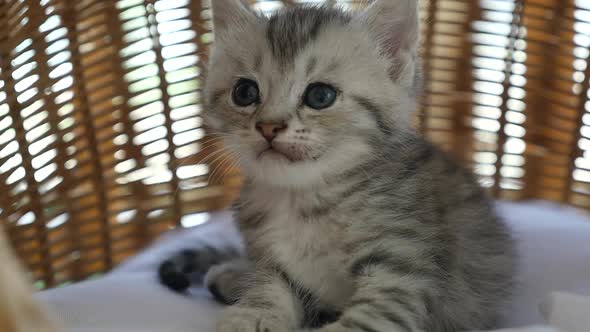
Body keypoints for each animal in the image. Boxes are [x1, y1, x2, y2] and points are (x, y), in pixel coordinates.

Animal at [160, 0, 516, 330]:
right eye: (244, 92)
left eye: (320, 96)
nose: (269, 127)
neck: (303, 201)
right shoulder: (270, 260)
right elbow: (269, 285)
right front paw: (255, 313)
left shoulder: (404, 269)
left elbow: (368, 318)